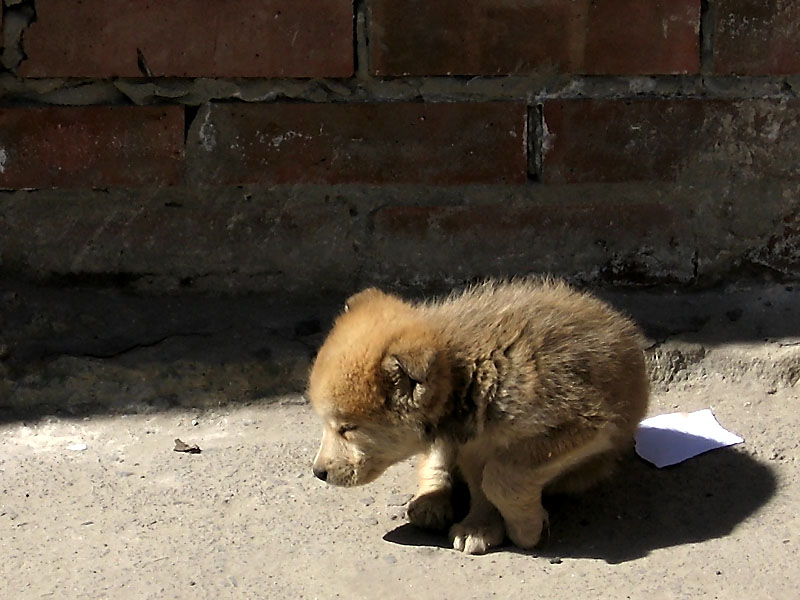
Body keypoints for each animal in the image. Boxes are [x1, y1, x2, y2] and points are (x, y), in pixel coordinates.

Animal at [306, 278, 648, 556]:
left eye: (347, 428)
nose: (318, 473)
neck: (471, 373)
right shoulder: (470, 443)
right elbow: (481, 485)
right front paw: (482, 525)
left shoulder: (587, 426)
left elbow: (500, 476)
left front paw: (524, 527)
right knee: (432, 462)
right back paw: (431, 501)